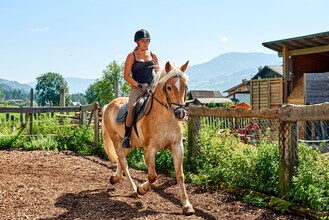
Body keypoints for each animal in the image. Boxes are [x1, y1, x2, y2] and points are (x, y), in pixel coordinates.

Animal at [102, 60, 195, 215]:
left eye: (185, 87)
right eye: (169, 87)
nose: (180, 114)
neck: (164, 117)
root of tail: (109, 104)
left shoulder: (177, 147)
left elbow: (180, 175)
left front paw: (187, 206)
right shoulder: (149, 150)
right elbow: (153, 176)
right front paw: (141, 189)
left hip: (129, 143)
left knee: (122, 157)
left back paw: (115, 178)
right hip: (115, 139)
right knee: (123, 161)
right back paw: (133, 189)